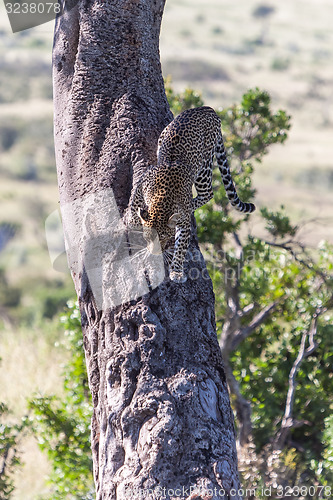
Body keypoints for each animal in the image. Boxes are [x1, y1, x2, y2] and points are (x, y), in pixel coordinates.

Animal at [126, 106, 254, 284]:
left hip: (204, 165)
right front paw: (132, 220)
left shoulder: (184, 225)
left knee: (207, 193)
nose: (155, 252)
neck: (161, 201)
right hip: (165, 136)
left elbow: (180, 248)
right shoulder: (142, 184)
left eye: (163, 236)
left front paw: (176, 272)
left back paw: (191, 205)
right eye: (149, 236)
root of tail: (209, 109)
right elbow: (135, 204)